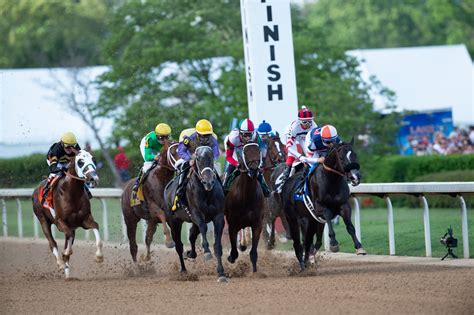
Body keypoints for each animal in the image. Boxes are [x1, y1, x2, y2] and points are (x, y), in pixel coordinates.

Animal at [165, 147, 228, 282]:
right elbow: (203, 228)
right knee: (179, 245)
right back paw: (183, 271)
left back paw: (191, 254)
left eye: (211, 157)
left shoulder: (218, 216)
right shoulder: (196, 214)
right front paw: (207, 252)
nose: (208, 182)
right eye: (198, 158)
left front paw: (221, 273)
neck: (206, 192)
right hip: (174, 222)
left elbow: (218, 246)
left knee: (192, 236)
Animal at [224, 144, 264, 274]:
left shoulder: (257, 223)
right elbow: (234, 252)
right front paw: (231, 257)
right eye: (245, 152)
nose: (254, 169)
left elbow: (253, 252)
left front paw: (255, 272)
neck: (247, 196)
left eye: (258, 151)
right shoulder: (232, 224)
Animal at [280, 141, 364, 272]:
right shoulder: (319, 208)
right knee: (298, 243)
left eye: (354, 155)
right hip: (294, 219)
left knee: (310, 242)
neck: (332, 181)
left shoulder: (344, 206)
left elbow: (350, 227)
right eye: (341, 158)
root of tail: (286, 183)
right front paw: (334, 243)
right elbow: (328, 216)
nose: (355, 177)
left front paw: (359, 247)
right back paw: (302, 266)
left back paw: (308, 260)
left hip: (312, 222)